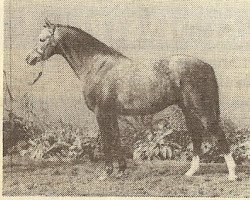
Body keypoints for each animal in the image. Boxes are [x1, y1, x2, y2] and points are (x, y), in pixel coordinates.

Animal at [26, 19, 237, 180]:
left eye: (42, 39)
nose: (29, 59)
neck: (97, 65)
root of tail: (206, 66)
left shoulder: (101, 113)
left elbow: (107, 142)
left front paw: (106, 173)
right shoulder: (111, 114)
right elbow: (116, 140)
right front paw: (120, 171)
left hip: (202, 109)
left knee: (218, 134)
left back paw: (232, 174)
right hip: (188, 110)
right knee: (197, 136)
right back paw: (190, 172)